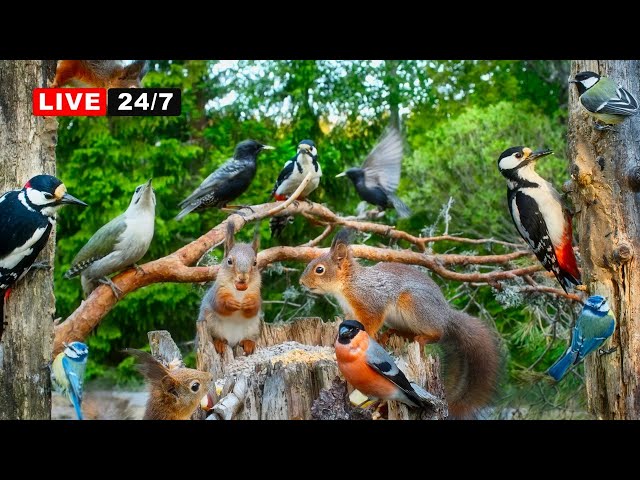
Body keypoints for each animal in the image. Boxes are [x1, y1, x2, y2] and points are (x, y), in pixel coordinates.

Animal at [198, 221, 262, 356]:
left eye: (255, 263)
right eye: (229, 261)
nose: (243, 277)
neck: (238, 291)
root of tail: (233, 342)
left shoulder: (255, 292)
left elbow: (255, 306)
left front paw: (249, 303)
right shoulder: (217, 292)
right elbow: (219, 303)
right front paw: (231, 303)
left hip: (253, 327)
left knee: (247, 338)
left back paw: (248, 343)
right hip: (211, 322)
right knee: (217, 338)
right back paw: (220, 343)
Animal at [299, 229, 500, 419]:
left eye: (319, 269)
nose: (301, 282)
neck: (349, 283)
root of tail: (445, 315)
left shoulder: (372, 303)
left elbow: (371, 323)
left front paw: (370, 338)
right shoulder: (351, 312)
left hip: (414, 304)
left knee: (438, 333)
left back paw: (422, 338)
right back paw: (393, 334)